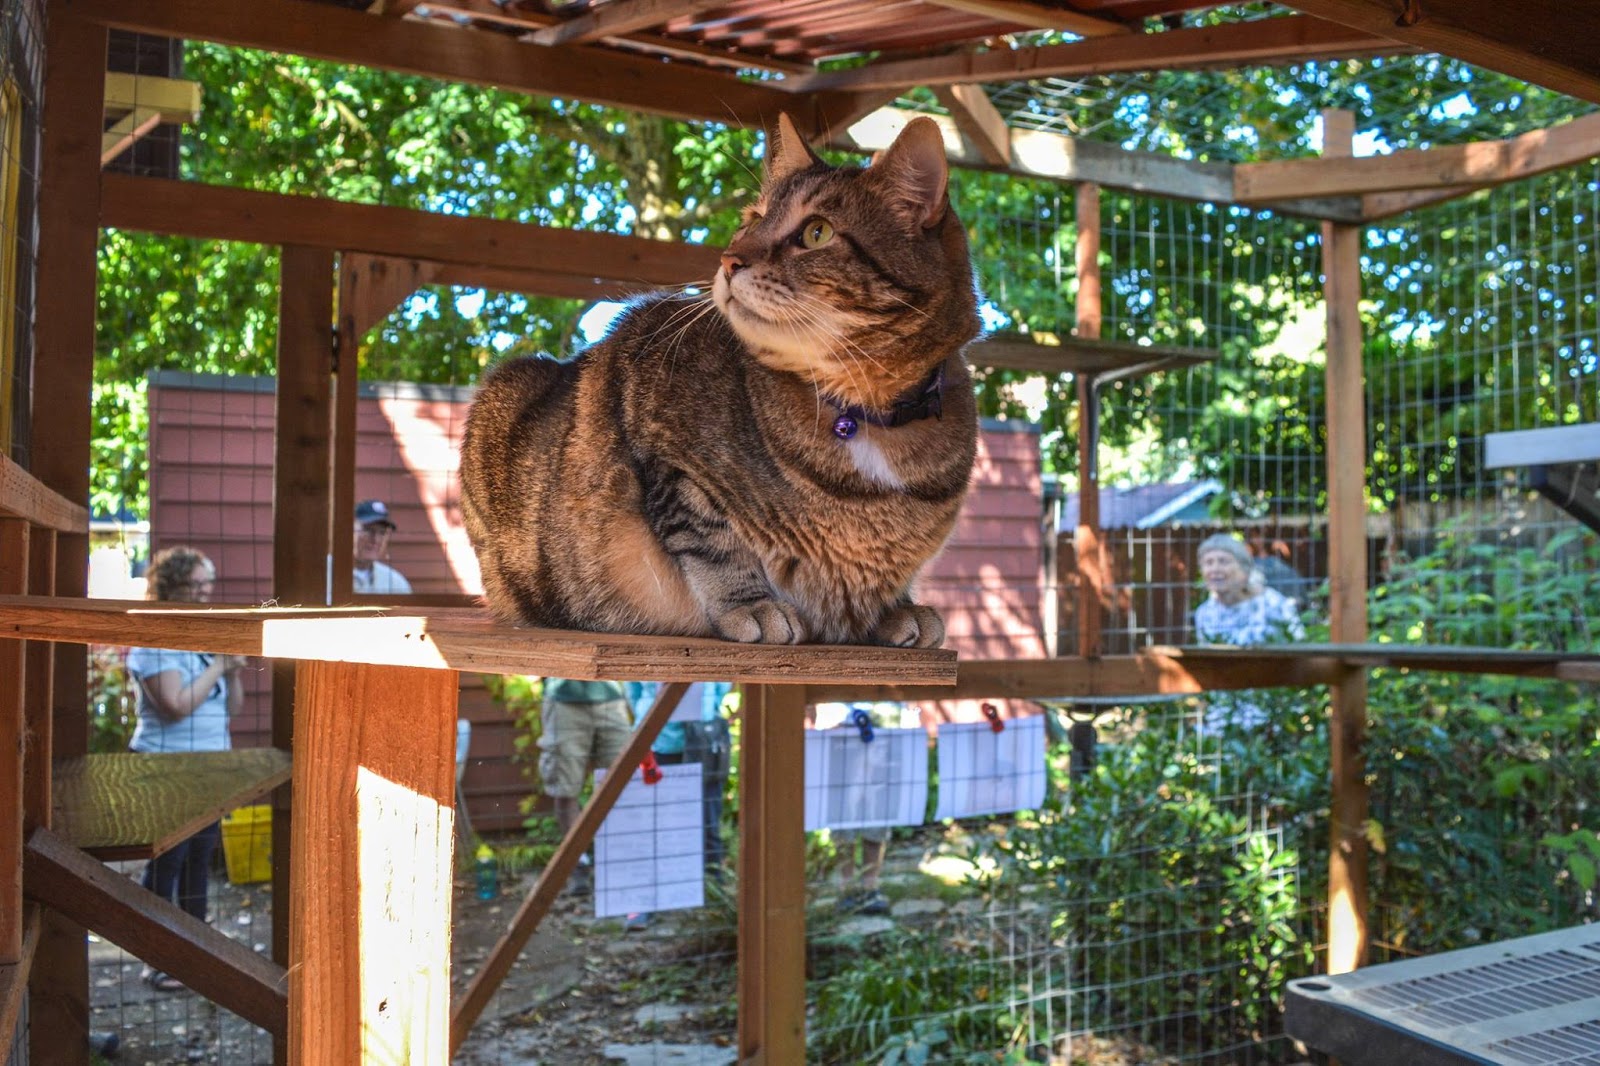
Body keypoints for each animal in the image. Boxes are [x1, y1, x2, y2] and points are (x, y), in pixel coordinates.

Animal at [460, 112, 972, 643]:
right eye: (752, 219)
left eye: (817, 232)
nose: (729, 260)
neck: (864, 406)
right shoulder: (663, 447)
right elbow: (712, 540)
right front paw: (752, 604)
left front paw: (895, 607)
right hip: (506, 390)